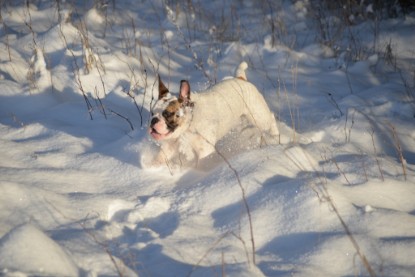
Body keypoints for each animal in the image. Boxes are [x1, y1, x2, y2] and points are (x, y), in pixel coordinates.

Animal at [148, 62, 282, 166]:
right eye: (152, 113)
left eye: (167, 114)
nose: (153, 120)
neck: (189, 124)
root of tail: (240, 78)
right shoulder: (170, 146)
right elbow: (161, 157)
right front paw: (153, 166)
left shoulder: (205, 150)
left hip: (258, 116)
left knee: (270, 118)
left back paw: (276, 136)